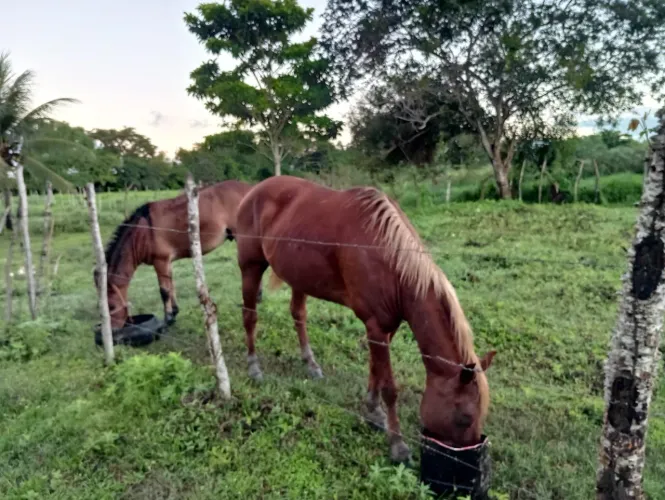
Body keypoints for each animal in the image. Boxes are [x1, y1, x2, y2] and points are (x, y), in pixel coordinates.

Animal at [94, 180, 256, 330]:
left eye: (111, 307)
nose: (113, 330)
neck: (143, 232)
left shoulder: (160, 261)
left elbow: (164, 291)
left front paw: (168, 319)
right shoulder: (167, 263)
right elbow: (171, 285)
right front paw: (175, 312)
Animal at [234, 175, 496, 463]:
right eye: (465, 417)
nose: (471, 458)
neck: (389, 259)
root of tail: (254, 191)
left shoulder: (385, 327)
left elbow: (375, 369)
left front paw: (373, 411)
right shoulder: (376, 326)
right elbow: (390, 387)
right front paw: (397, 444)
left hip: (298, 276)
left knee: (298, 316)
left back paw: (311, 364)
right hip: (250, 267)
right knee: (250, 317)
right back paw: (253, 367)